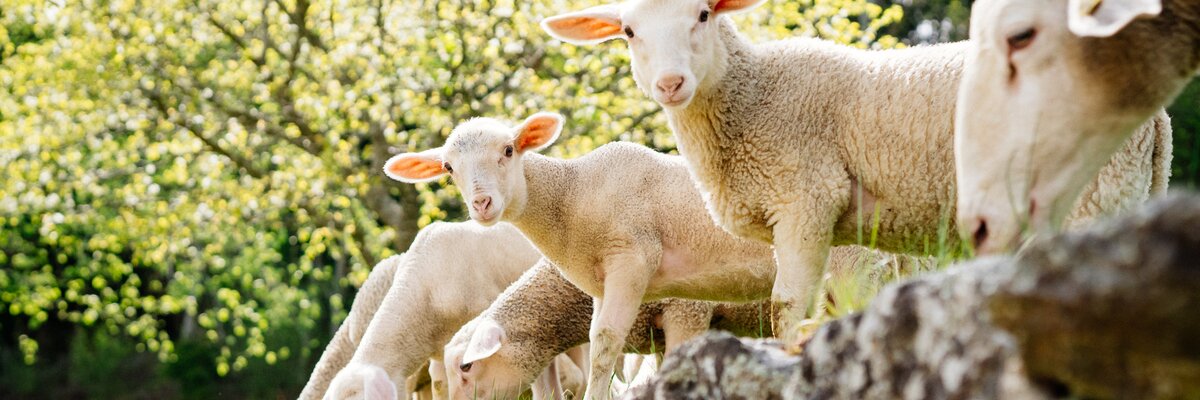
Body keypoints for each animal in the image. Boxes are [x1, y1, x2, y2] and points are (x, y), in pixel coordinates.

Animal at [379, 110, 782, 396]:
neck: (574, 196)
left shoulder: (640, 267)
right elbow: (598, 346)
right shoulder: (602, 285)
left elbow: (605, 346)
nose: (481, 204)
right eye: (449, 167)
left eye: (508, 150)